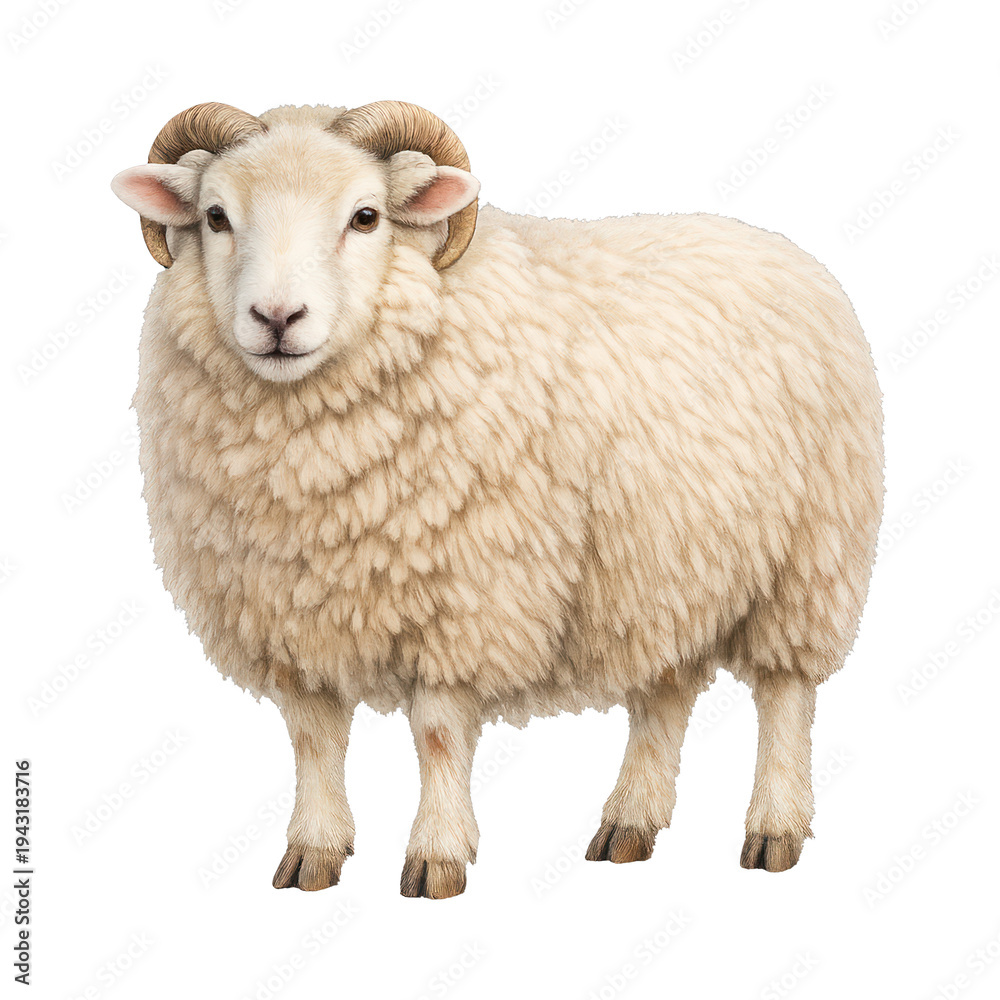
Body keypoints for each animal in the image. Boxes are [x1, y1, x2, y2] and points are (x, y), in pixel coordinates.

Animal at [111, 100, 883, 899]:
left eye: (366, 216)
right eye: (215, 217)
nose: (276, 318)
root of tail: (783, 247)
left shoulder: (467, 598)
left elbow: (438, 734)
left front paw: (437, 857)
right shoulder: (288, 612)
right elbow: (312, 737)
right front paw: (312, 853)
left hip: (810, 556)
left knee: (786, 696)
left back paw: (774, 830)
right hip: (661, 566)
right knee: (664, 693)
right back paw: (630, 826)